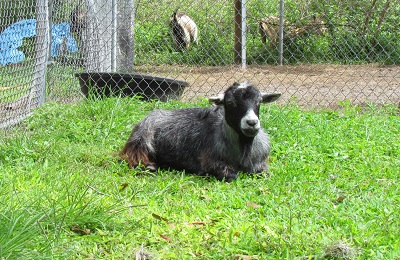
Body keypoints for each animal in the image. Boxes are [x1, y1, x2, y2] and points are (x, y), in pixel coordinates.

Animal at [120, 82, 280, 182]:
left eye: (259, 101)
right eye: (230, 102)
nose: (251, 123)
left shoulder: (261, 164)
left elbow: (263, 173)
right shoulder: (210, 163)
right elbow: (230, 176)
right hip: (140, 143)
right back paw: (151, 166)